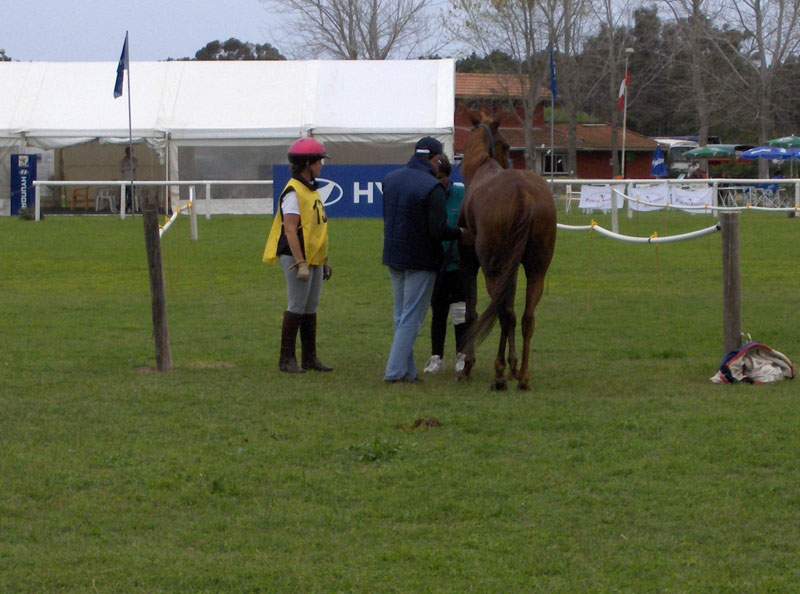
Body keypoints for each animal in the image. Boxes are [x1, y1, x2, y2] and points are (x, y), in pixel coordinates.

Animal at [456, 112, 556, 388]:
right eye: (508, 145)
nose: (509, 160)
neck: (482, 167)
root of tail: (523, 193)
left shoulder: (470, 264)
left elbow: (473, 312)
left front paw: (469, 365)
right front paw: (513, 365)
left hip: (493, 270)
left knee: (505, 313)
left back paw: (499, 373)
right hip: (536, 270)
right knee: (525, 317)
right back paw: (522, 375)